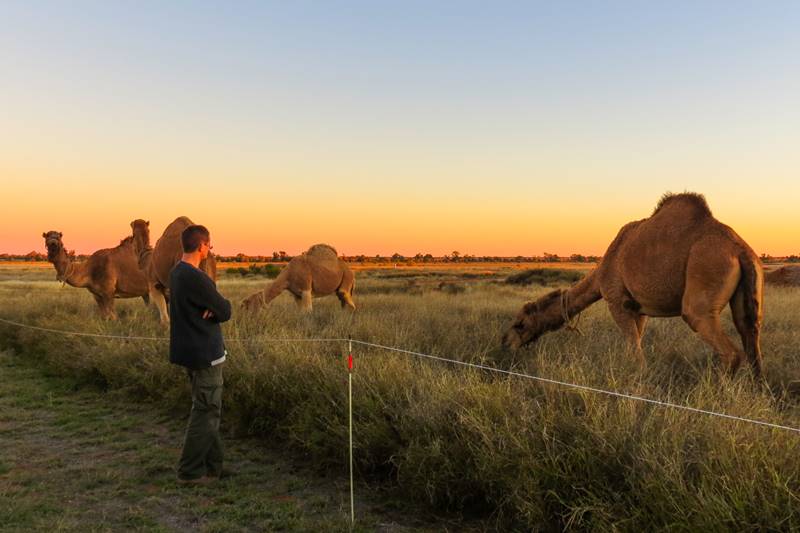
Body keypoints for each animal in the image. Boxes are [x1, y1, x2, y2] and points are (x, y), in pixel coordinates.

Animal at [501, 192, 764, 377]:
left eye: (520, 324)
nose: (506, 344)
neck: (601, 270)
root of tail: (740, 250)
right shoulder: (639, 309)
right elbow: (637, 343)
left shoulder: (617, 300)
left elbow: (634, 350)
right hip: (749, 293)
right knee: (751, 338)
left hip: (706, 274)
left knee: (730, 351)